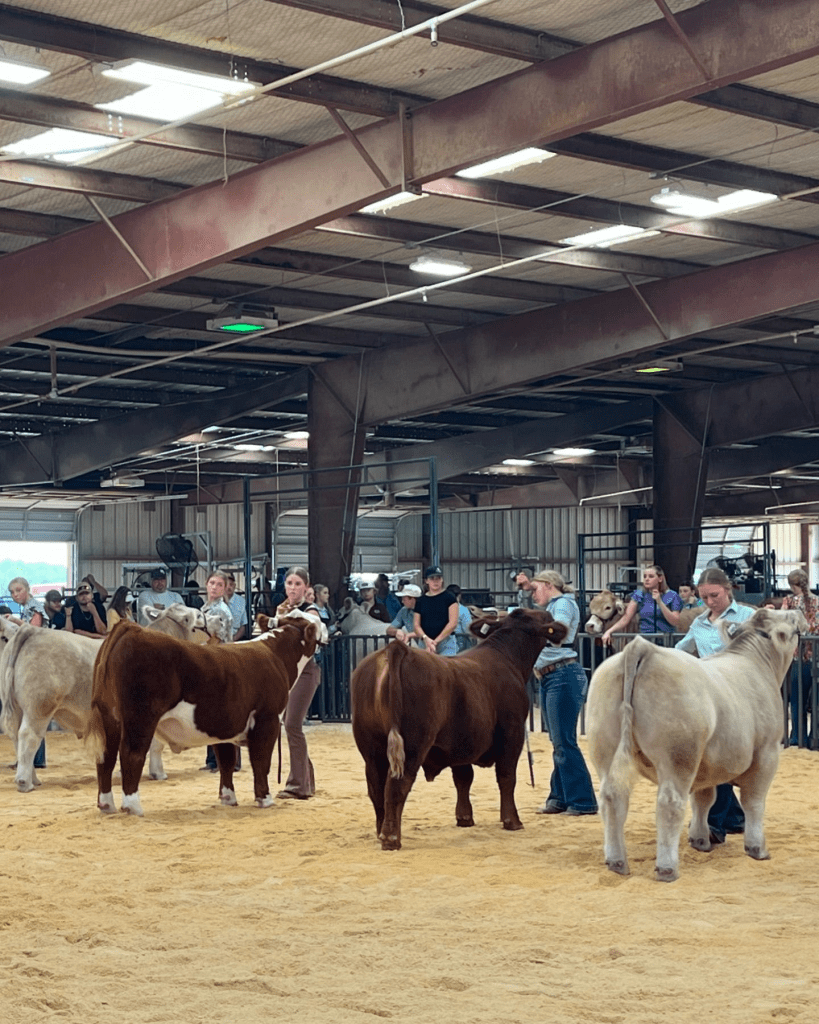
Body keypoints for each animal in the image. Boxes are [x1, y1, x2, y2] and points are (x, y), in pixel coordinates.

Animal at [85, 610, 319, 819]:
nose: (323, 625)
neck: (274, 654)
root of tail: (132, 628)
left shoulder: (225, 725)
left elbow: (226, 761)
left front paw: (228, 798)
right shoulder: (267, 720)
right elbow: (261, 760)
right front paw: (265, 799)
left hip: (109, 718)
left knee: (105, 757)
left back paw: (106, 804)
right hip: (140, 718)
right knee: (131, 754)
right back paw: (132, 806)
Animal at [352, 606, 569, 847]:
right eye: (542, 618)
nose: (550, 615)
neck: (507, 658)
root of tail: (398, 649)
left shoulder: (460, 742)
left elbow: (463, 778)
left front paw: (464, 817)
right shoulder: (512, 734)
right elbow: (506, 777)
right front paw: (512, 821)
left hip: (371, 748)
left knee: (376, 788)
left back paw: (381, 832)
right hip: (412, 744)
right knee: (396, 786)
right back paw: (391, 838)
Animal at [589, 606, 806, 880]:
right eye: (787, 618)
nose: (800, 612)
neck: (757, 663)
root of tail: (643, 647)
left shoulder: (707, 765)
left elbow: (703, 799)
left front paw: (700, 840)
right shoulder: (767, 753)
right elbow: (754, 802)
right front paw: (757, 848)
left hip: (605, 747)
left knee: (611, 798)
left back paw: (616, 861)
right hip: (678, 756)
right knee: (669, 803)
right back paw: (667, 868)